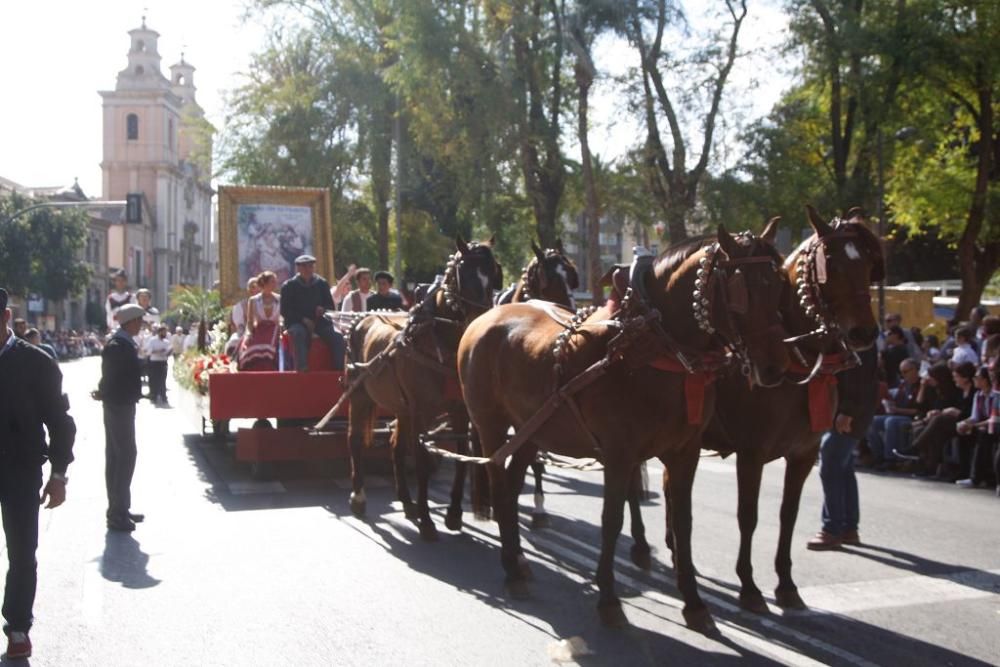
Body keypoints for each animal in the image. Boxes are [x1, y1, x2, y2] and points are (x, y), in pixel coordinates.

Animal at [346, 240, 504, 544]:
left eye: (494, 274)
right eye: (463, 275)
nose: (480, 321)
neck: (438, 342)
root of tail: (361, 319)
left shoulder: (458, 411)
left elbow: (461, 458)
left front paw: (453, 514)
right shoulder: (422, 411)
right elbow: (421, 461)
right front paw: (428, 522)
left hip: (401, 407)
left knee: (395, 446)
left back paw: (407, 502)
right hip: (359, 395)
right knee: (355, 440)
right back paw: (359, 497)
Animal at [458, 223, 792, 632]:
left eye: (778, 285)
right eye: (741, 290)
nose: (775, 367)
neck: (651, 349)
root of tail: (482, 320)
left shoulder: (685, 453)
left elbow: (683, 521)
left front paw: (694, 602)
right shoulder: (619, 454)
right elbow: (611, 519)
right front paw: (608, 598)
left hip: (530, 430)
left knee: (512, 483)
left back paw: (519, 559)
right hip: (491, 426)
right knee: (497, 480)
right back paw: (510, 567)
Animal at [664, 205, 884, 616]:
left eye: (867, 262)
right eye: (831, 263)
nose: (864, 333)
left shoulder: (803, 455)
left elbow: (787, 515)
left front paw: (786, 584)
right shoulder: (750, 454)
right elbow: (748, 516)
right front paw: (749, 587)